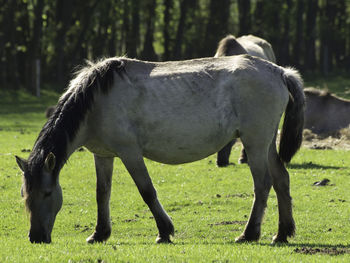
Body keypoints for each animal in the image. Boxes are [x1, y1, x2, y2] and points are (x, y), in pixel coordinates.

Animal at [15, 55, 304, 245]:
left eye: (47, 193)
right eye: (25, 195)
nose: (36, 237)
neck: (95, 101)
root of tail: (279, 72)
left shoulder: (130, 153)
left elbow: (147, 191)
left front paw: (164, 231)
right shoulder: (103, 155)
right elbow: (102, 194)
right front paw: (99, 234)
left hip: (255, 143)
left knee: (263, 185)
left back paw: (249, 233)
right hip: (265, 144)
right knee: (281, 180)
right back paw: (282, 233)